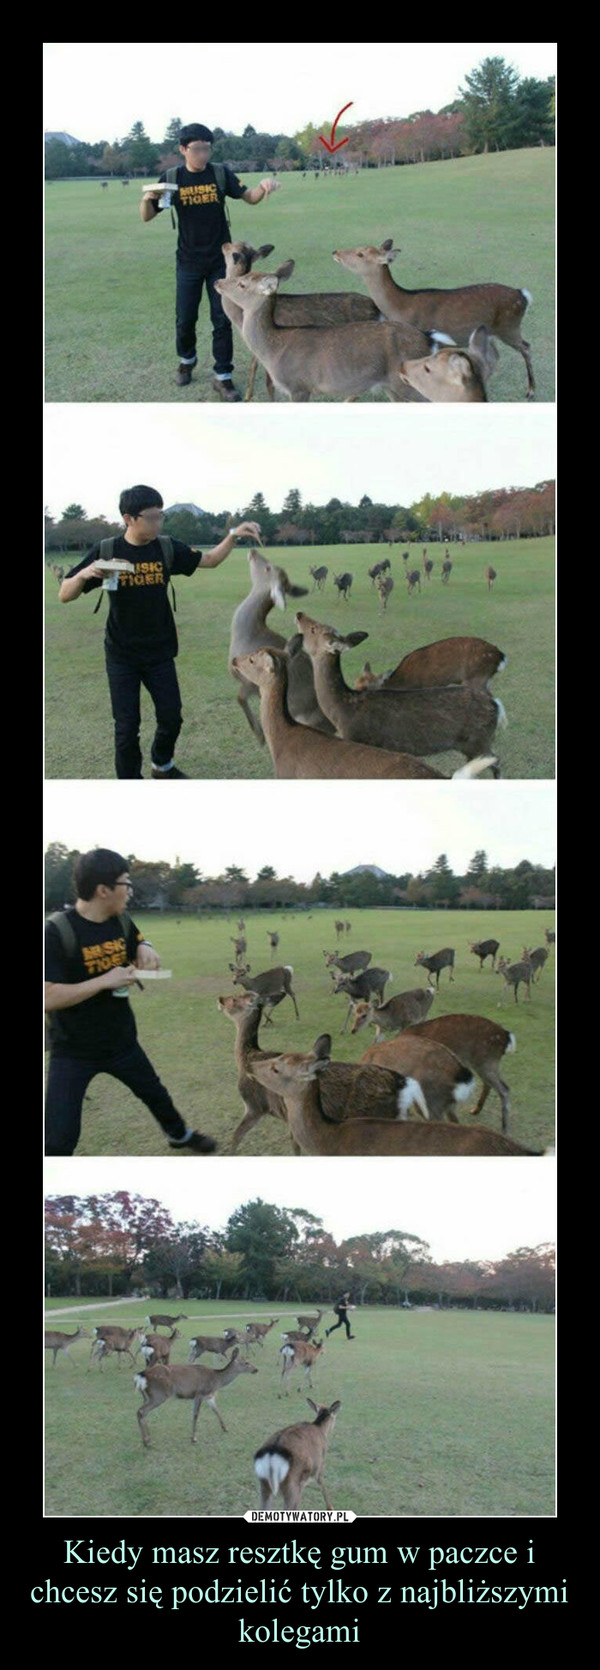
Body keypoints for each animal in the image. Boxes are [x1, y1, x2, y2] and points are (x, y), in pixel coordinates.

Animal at [211, 262, 447, 402]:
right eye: (245, 274)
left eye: (242, 283)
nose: (218, 281)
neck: (272, 351)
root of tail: (428, 339)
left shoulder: (299, 385)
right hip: (393, 387)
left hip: (411, 384)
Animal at [228, 547, 334, 744]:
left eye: (268, 567)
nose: (253, 550)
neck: (245, 636)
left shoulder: (251, 681)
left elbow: (239, 697)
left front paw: (259, 735)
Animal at [295, 614, 508, 774]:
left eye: (313, 629)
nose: (299, 614)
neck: (342, 710)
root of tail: (496, 705)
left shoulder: (359, 740)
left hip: (479, 741)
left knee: (496, 762)